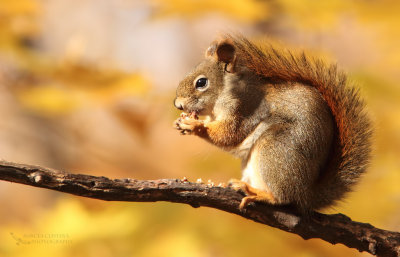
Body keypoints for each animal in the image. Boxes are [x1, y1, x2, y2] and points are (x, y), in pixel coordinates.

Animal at [173, 34, 372, 214]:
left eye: (201, 82)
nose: (178, 104)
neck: (226, 91)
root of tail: (306, 195)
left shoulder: (246, 107)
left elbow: (230, 134)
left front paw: (195, 126)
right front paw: (183, 121)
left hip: (275, 149)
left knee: (284, 198)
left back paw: (260, 194)